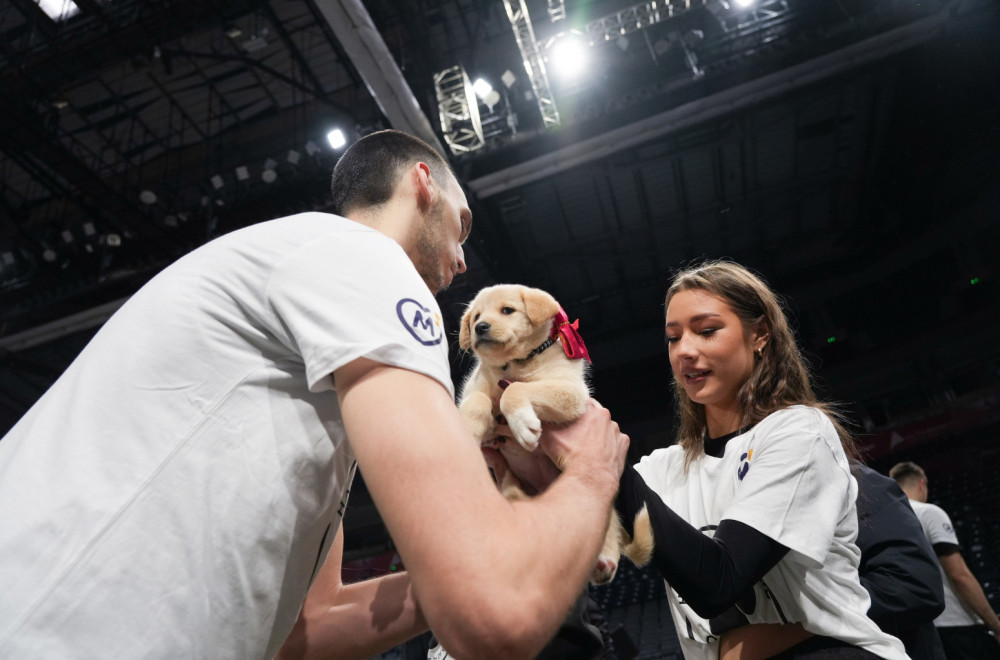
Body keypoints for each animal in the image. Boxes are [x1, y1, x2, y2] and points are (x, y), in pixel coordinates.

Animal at [458, 284, 652, 584]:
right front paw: (468, 429)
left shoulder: (569, 392)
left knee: (605, 527)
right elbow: (478, 399)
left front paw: (522, 422)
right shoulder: (476, 396)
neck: (515, 364)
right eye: (477, 315)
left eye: (507, 310)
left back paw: (604, 562)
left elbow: (514, 390)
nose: (480, 327)